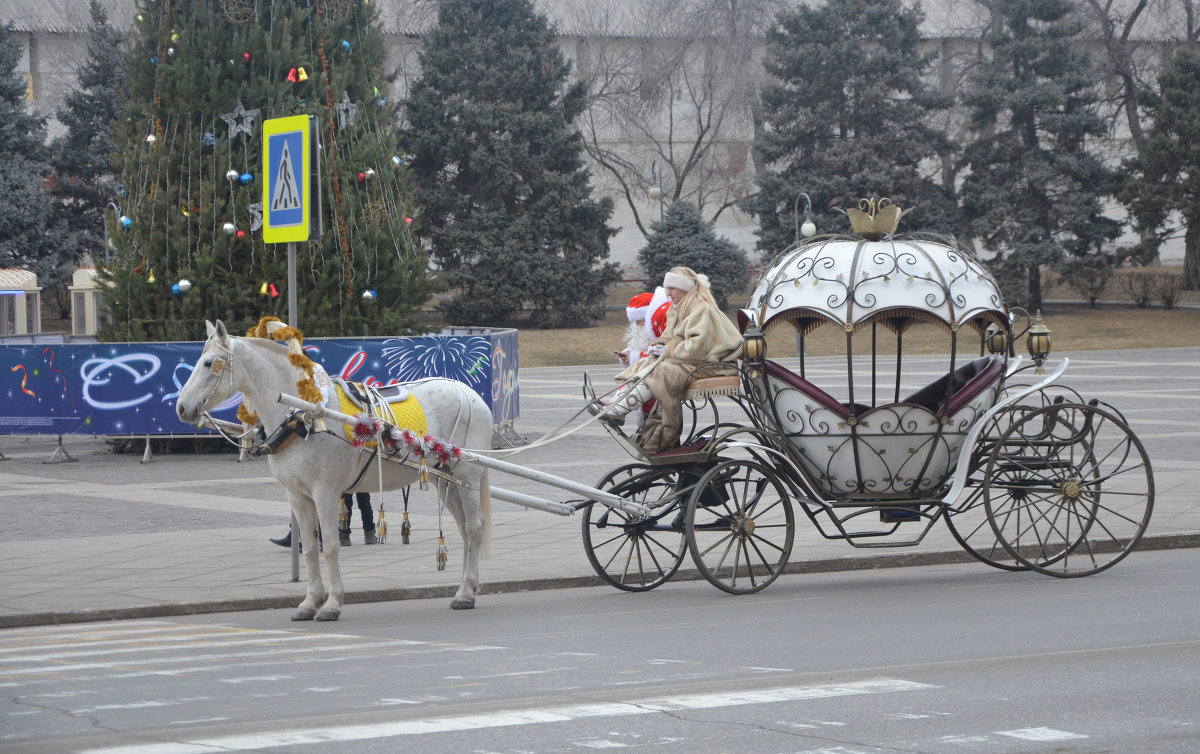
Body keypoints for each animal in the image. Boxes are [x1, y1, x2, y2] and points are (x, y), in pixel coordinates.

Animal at [175, 316, 492, 619]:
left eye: (208, 363)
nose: (181, 407)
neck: (302, 413)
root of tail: (470, 393)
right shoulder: (298, 496)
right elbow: (310, 549)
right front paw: (309, 603)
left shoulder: (325, 493)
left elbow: (330, 546)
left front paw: (332, 604)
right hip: (445, 480)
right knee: (465, 531)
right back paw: (466, 588)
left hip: (467, 476)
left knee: (474, 528)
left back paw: (466, 593)